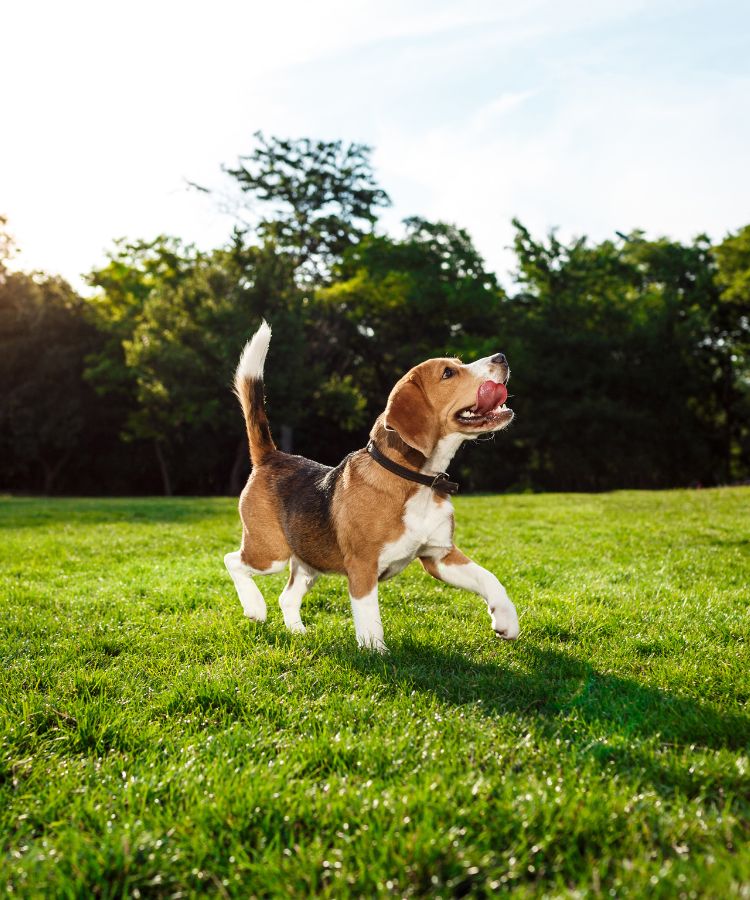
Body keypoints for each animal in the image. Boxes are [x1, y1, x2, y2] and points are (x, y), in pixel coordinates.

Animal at [225, 320, 524, 652]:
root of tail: (272, 456)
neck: (415, 480)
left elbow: (489, 578)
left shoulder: (439, 556)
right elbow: (370, 618)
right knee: (232, 561)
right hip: (270, 553)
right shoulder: (363, 566)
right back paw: (254, 607)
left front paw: (506, 620)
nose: (501, 357)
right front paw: (375, 653)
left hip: (308, 562)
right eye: (448, 373)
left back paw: (298, 632)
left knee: (287, 597)